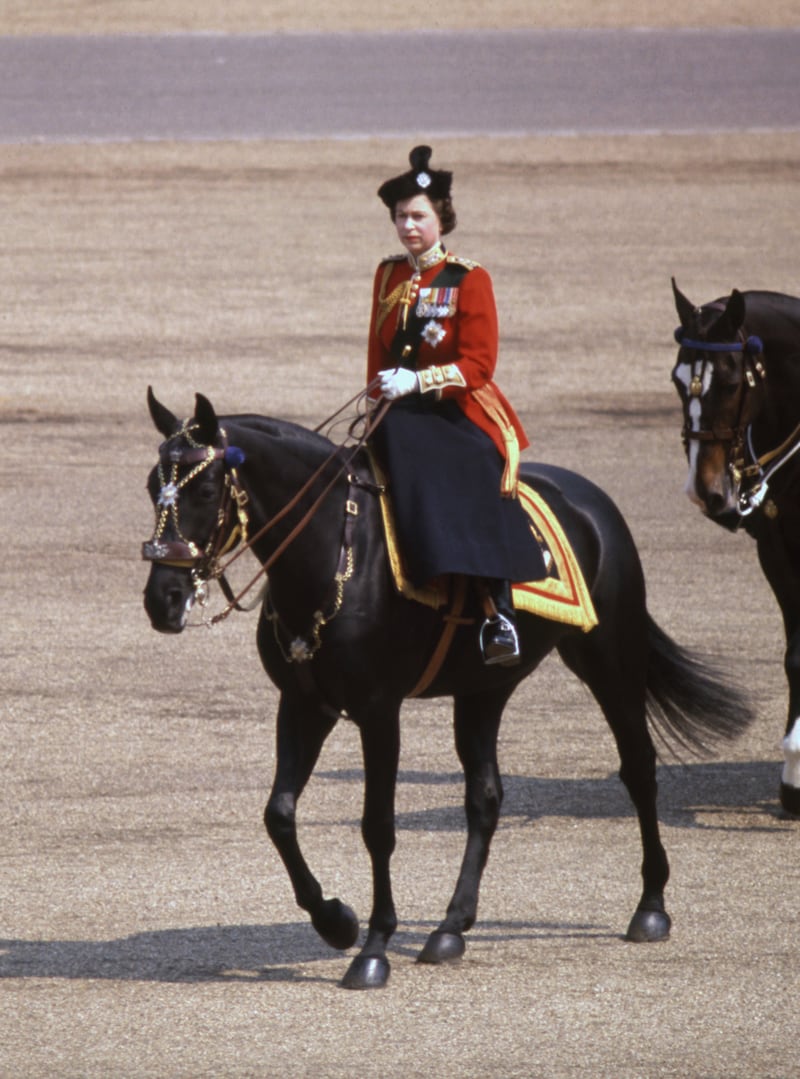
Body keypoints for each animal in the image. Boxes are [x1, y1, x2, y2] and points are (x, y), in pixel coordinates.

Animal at [142, 388, 747, 988]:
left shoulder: (378, 711)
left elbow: (377, 826)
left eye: (205, 489)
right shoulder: (304, 704)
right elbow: (280, 815)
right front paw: (336, 920)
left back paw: (651, 907)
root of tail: (589, 499)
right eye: (152, 486)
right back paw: (451, 927)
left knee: (638, 767)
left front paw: (374, 948)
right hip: (484, 689)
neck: (334, 556)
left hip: (609, 657)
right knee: (485, 796)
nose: (161, 600)